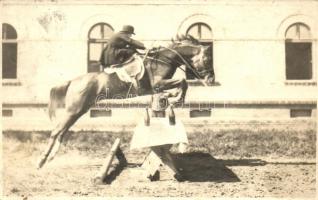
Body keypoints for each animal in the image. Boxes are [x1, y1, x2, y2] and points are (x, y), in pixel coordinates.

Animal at [37, 34, 214, 169]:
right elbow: (183, 82)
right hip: (74, 110)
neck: (164, 59)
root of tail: (73, 81)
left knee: (62, 132)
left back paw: (51, 157)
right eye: (207, 60)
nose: (211, 79)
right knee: (56, 131)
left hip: (79, 110)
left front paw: (173, 96)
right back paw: (41, 161)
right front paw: (178, 98)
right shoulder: (157, 84)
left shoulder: (157, 87)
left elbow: (180, 84)